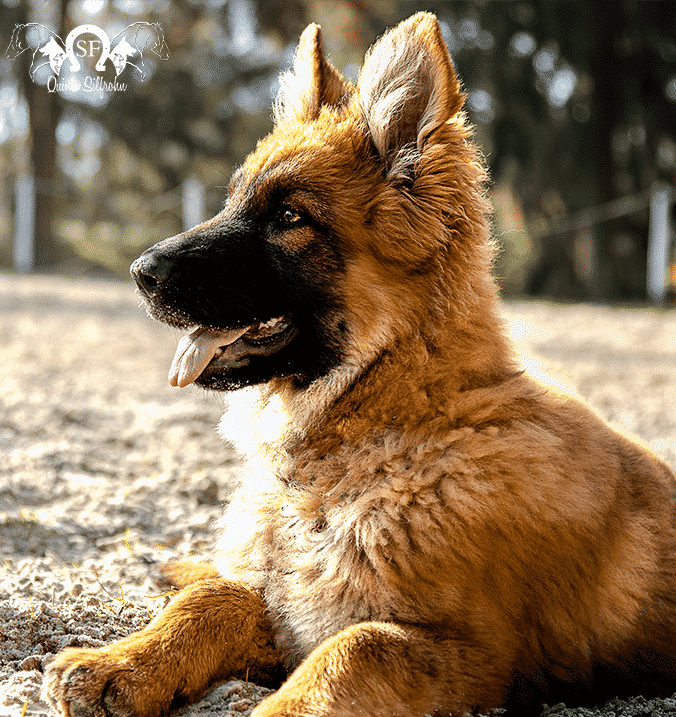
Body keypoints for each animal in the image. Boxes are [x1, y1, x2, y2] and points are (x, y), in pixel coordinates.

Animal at [43, 11, 676, 716]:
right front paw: (120, 664)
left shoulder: (468, 654)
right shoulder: (289, 611)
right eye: (232, 202)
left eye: (290, 217)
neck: (378, 433)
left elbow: (353, 650)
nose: (139, 272)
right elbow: (213, 597)